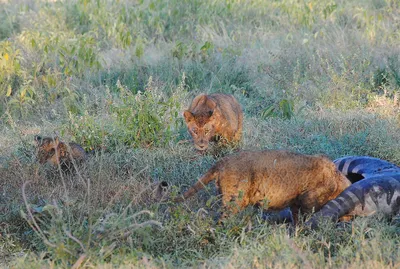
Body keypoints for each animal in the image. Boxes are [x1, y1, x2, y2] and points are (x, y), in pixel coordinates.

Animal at [175, 149, 350, 222]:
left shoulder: (296, 202)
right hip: (235, 200)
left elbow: (296, 220)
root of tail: (222, 161)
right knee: (223, 219)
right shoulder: (307, 200)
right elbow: (306, 218)